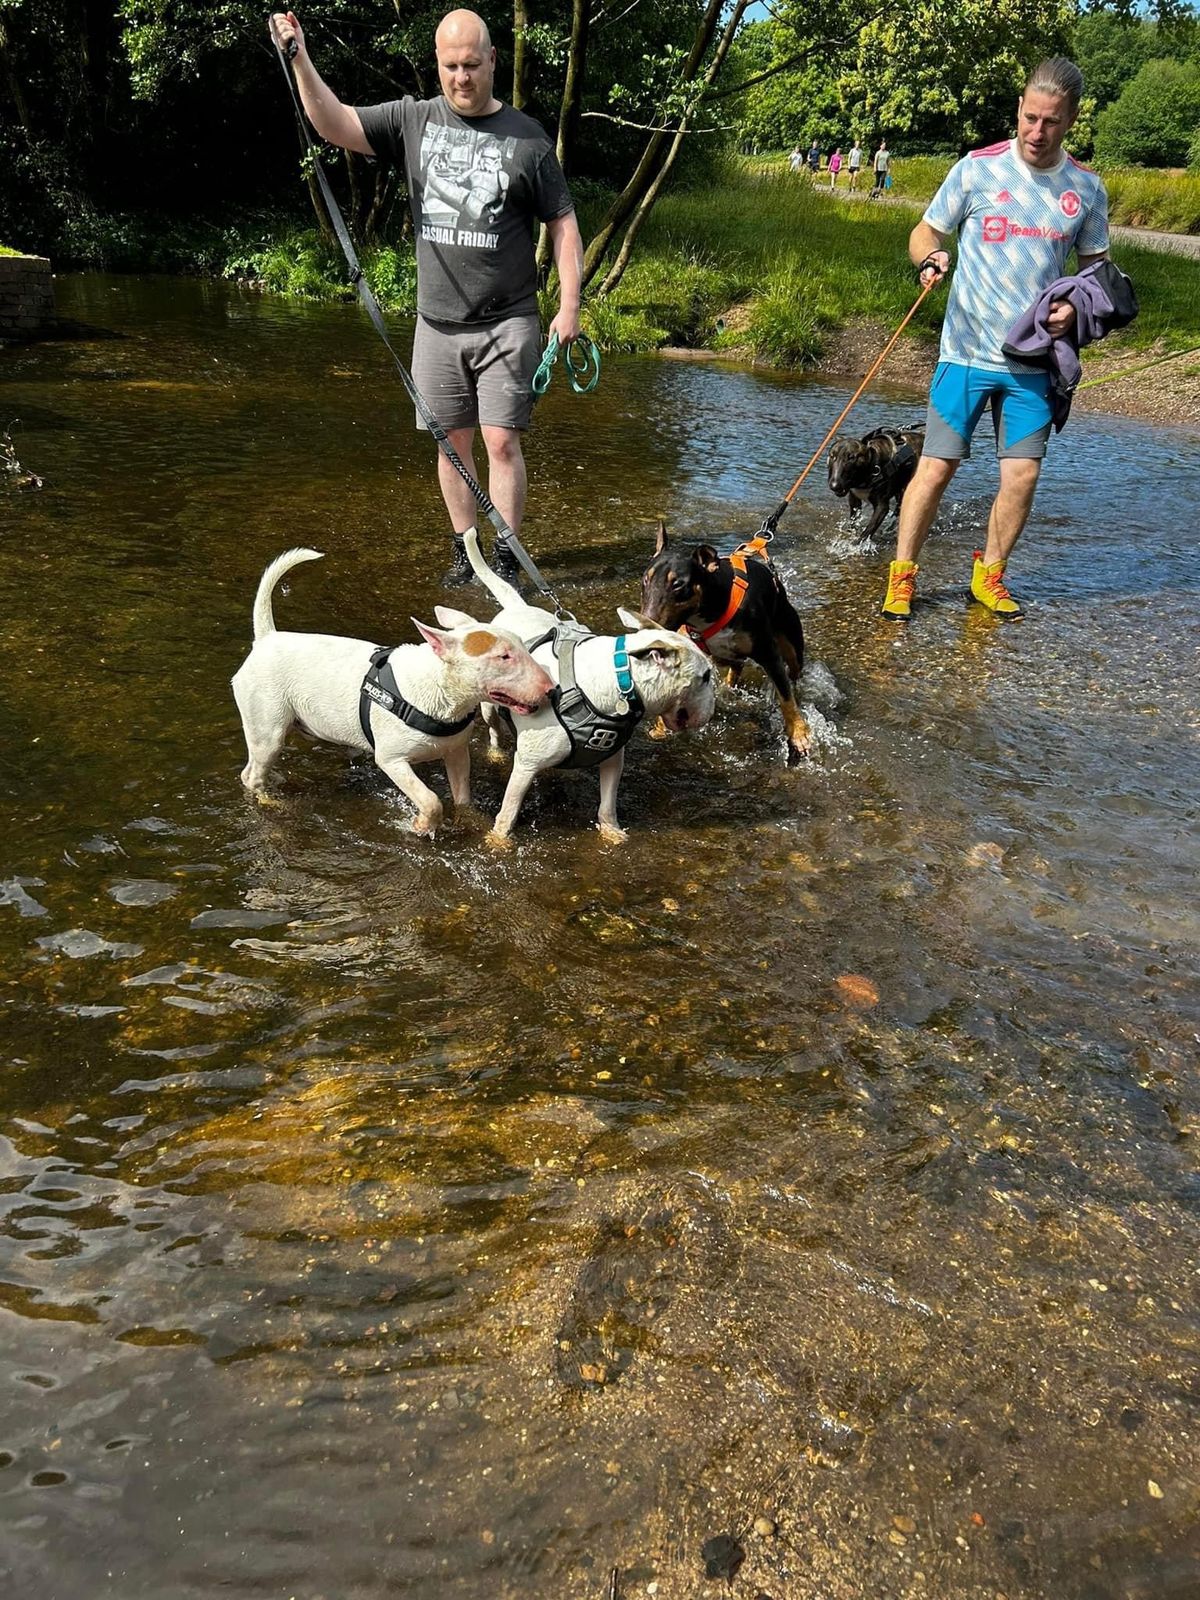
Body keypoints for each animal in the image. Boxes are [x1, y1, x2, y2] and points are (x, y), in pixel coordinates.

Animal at [633, 515, 812, 758]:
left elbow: (786, 697)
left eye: (678, 584)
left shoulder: (769, 654)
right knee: (736, 665)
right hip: (722, 655)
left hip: (790, 641)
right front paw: (661, 729)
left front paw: (799, 734)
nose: (643, 628)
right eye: (645, 579)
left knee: (792, 673)